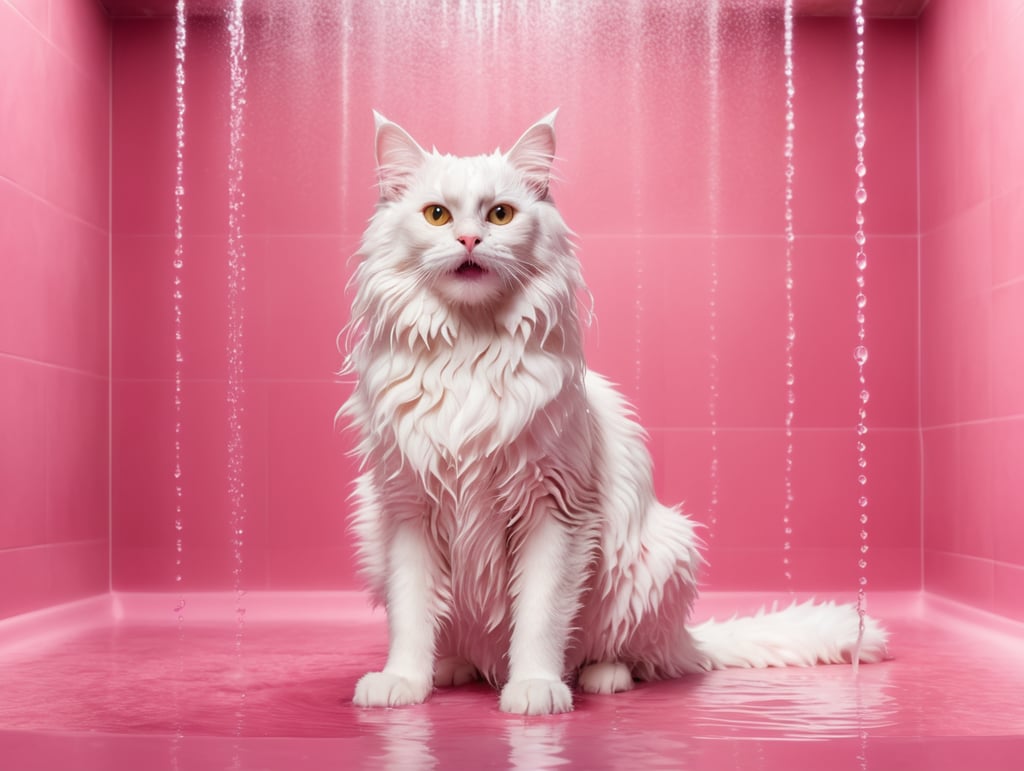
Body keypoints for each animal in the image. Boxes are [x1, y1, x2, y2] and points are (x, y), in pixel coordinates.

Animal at [339, 109, 884, 716]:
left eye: (500, 214)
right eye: (437, 215)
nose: (469, 238)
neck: (469, 353)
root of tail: (684, 639)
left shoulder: (555, 508)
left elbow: (541, 616)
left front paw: (534, 688)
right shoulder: (409, 507)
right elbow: (411, 615)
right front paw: (403, 681)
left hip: (659, 555)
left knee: (629, 656)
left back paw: (601, 677)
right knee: (467, 647)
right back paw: (452, 668)